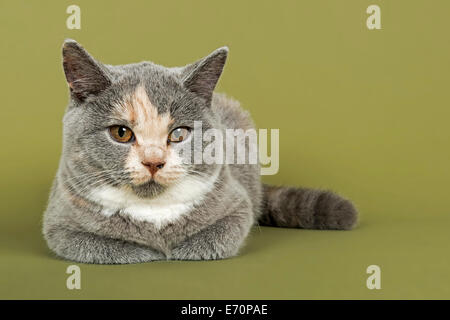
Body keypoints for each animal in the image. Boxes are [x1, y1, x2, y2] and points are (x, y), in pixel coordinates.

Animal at [42, 40, 358, 264]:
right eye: (121, 133)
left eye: (179, 133)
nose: (153, 161)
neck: (153, 215)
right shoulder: (59, 221)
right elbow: (96, 245)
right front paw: (148, 252)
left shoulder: (236, 203)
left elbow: (219, 236)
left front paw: (177, 250)